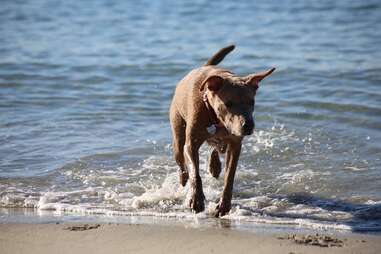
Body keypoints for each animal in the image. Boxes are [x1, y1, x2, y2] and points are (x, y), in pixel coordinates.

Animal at [169, 45, 274, 216]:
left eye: (251, 102)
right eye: (228, 103)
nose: (248, 125)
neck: (215, 118)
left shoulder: (235, 145)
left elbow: (229, 177)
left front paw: (224, 205)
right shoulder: (191, 145)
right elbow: (195, 173)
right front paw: (196, 200)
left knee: (217, 147)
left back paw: (214, 165)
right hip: (178, 134)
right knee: (182, 161)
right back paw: (183, 178)